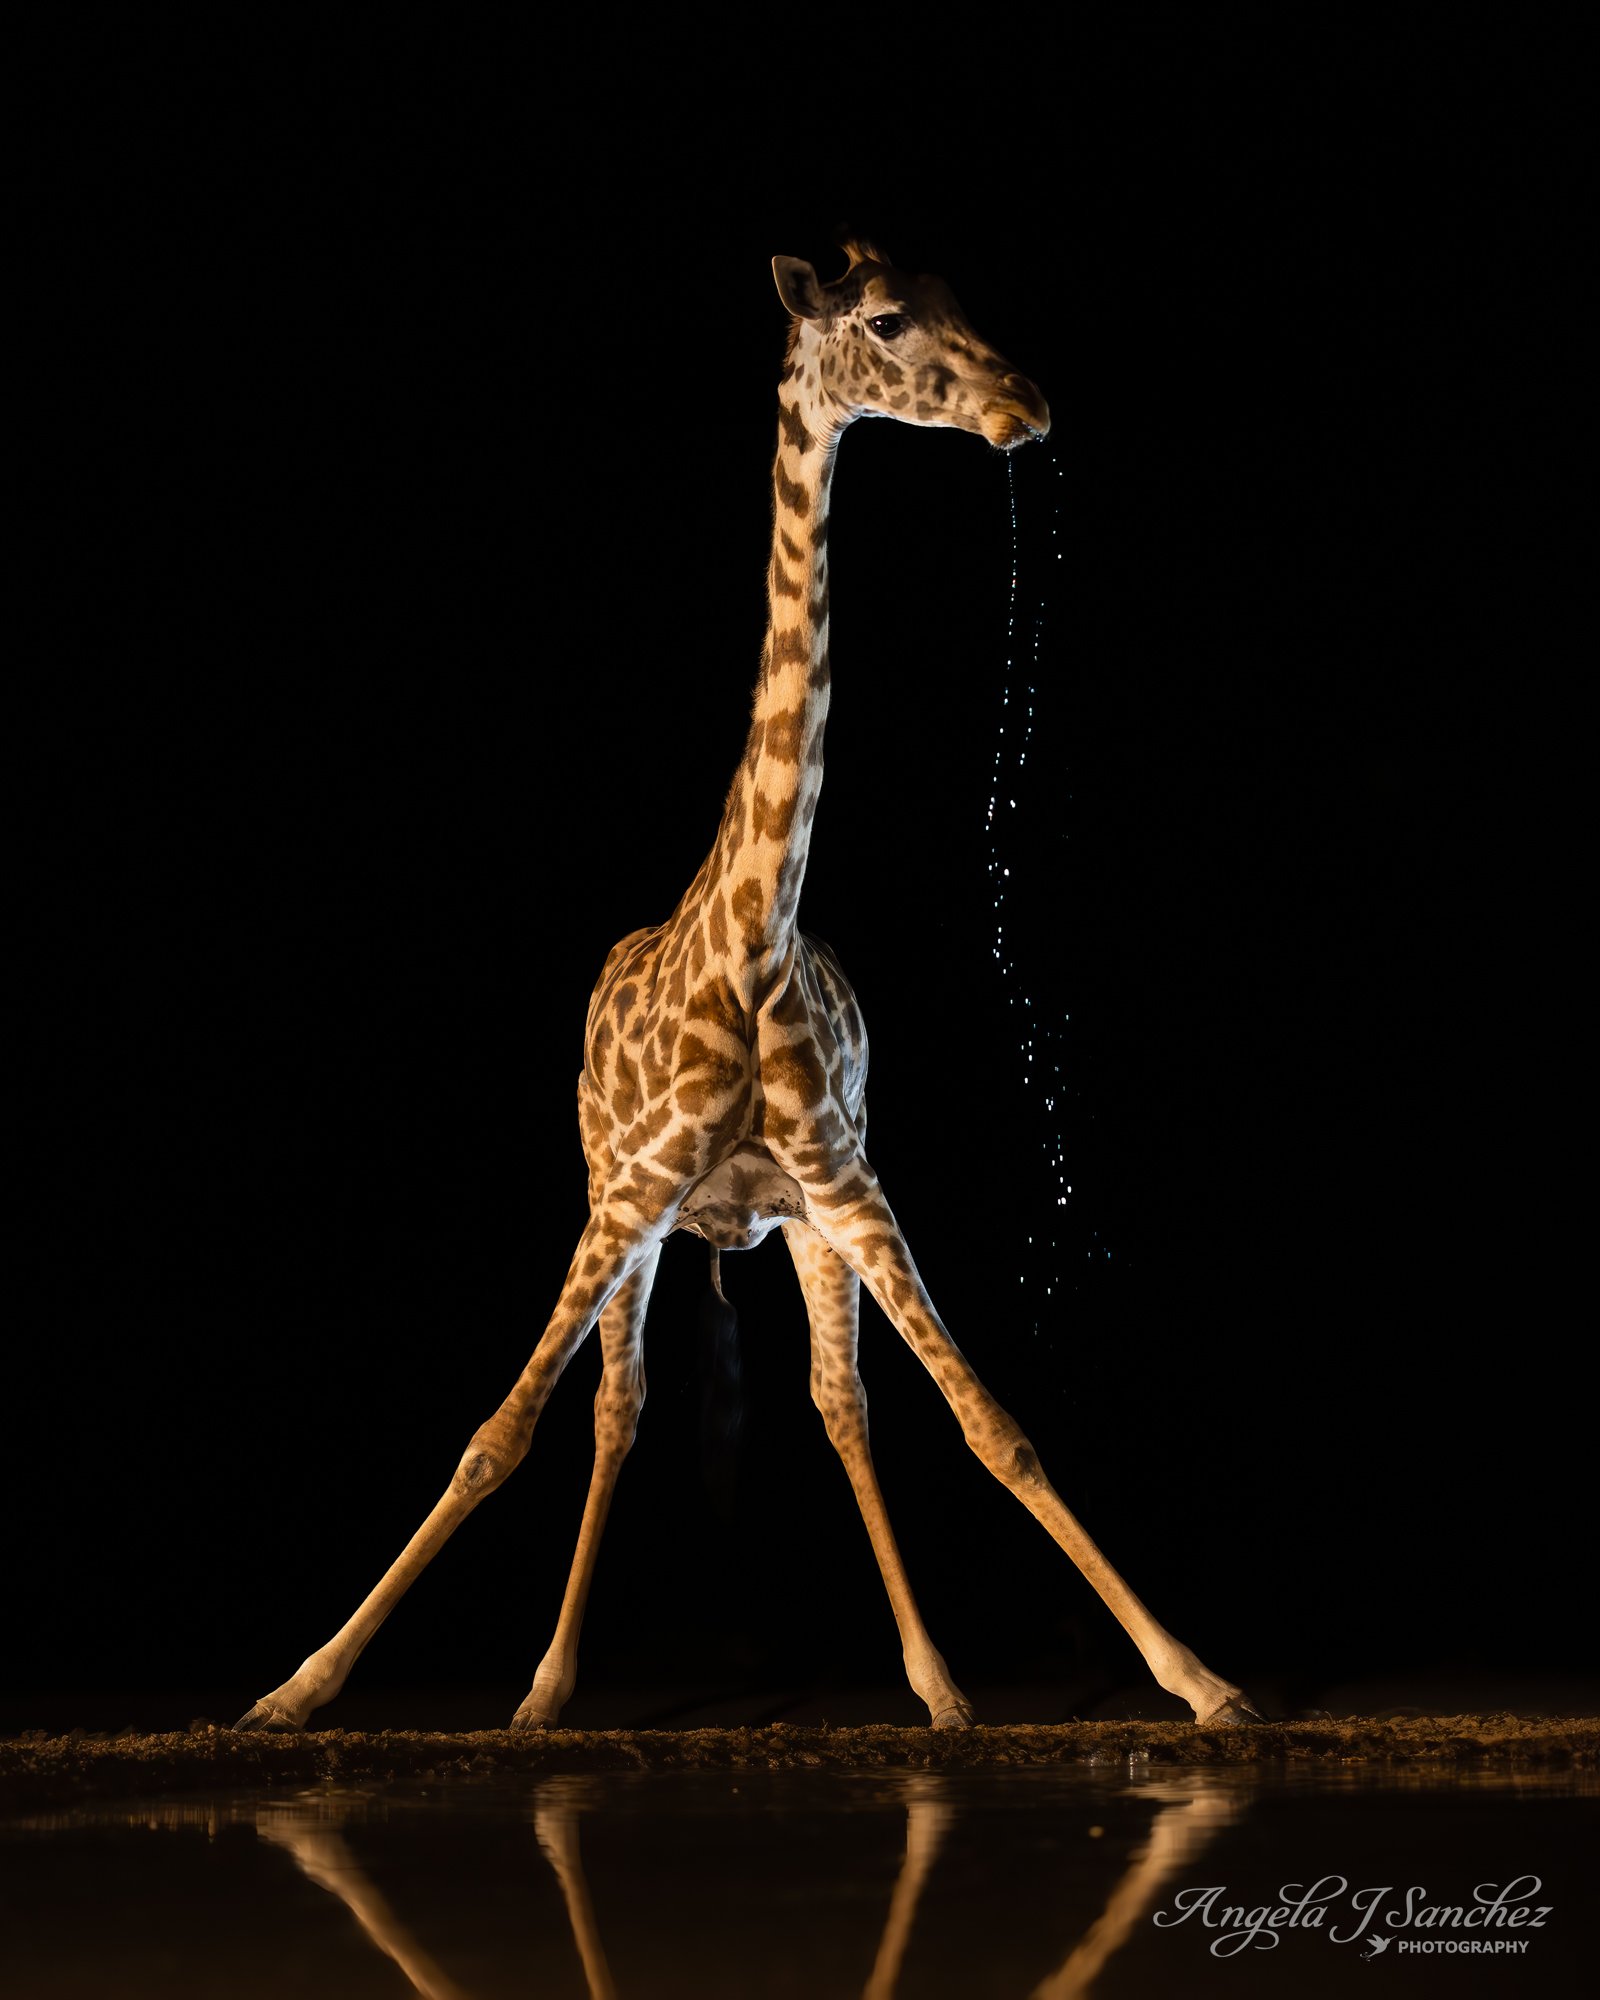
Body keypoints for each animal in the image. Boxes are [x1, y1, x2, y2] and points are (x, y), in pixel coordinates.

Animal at [235, 239, 1262, 1734]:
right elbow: (500, 1432)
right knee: (617, 1407)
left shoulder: (853, 1187)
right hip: (629, 1209)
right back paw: (544, 1690)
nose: (1027, 408)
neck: (752, 939)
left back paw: (938, 1685)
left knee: (839, 1402)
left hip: (802, 1228)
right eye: (887, 320)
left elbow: (990, 1421)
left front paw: (1197, 1676)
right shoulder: (627, 1197)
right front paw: (299, 1687)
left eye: (962, 301)